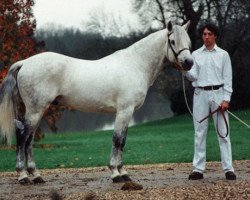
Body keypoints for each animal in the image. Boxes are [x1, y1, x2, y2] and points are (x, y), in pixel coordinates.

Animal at [0, 21, 193, 184]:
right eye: (173, 41)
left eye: (188, 41)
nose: (189, 62)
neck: (135, 65)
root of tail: (24, 62)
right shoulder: (124, 110)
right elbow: (117, 140)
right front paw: (116, 173)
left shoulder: (128, 113)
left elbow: (122, 140)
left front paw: (123, 173)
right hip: (35, 110)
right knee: (22, 137)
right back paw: (23, 176)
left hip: (38, 110)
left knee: (29, 139)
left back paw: (36, 175)